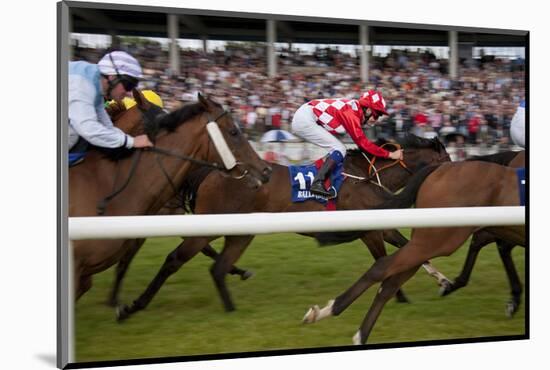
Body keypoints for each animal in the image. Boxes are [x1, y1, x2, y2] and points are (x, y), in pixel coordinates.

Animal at [116, 134, 452, 320]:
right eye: (449, 159)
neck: (366, 176)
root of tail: (210, 171)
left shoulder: (378, 223)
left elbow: (409, 248)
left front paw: (443, 282)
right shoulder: (369, 229)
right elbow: (387, 258)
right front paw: (400, 295)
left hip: (241, 233)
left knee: (219, 267)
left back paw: (232, 310)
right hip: (211, 226)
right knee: (176, 259)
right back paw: (133, 306)